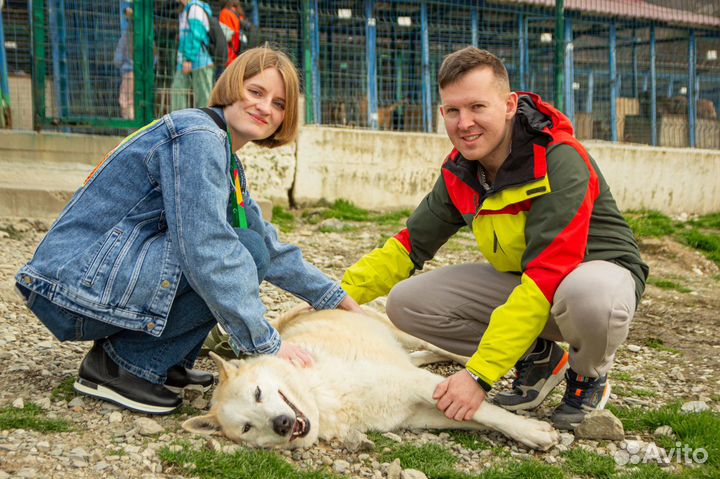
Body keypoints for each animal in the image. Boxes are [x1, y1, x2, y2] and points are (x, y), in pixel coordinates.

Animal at [181, 308, 564, 450]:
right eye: (247, 428)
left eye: (259, 393)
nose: (281, 424)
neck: (322, 398)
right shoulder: (417, 414)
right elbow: (473, 417)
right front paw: (529, 434)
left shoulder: (417, 384)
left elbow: (487, 411)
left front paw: (533, 431)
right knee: (422, 356)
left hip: (407, 331)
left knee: (447, 350)